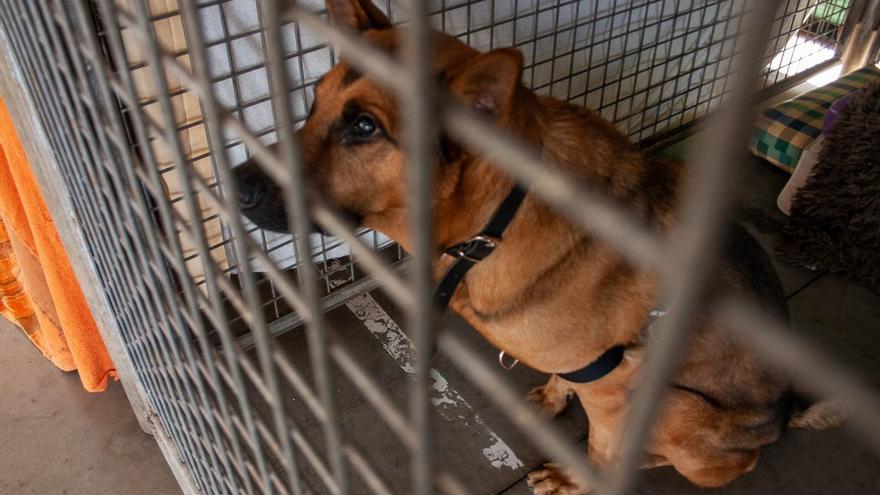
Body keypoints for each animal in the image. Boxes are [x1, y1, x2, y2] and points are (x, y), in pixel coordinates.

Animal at [232, 1, 840, 494]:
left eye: (363, 127)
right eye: (313, 103)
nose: (234, 186)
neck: (496, 219)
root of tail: (784, 413)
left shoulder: (618, 390)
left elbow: (604, 448)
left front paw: (582, 477)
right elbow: (567, 377)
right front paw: (554, 395)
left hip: (676, 403)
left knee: (702, 462)